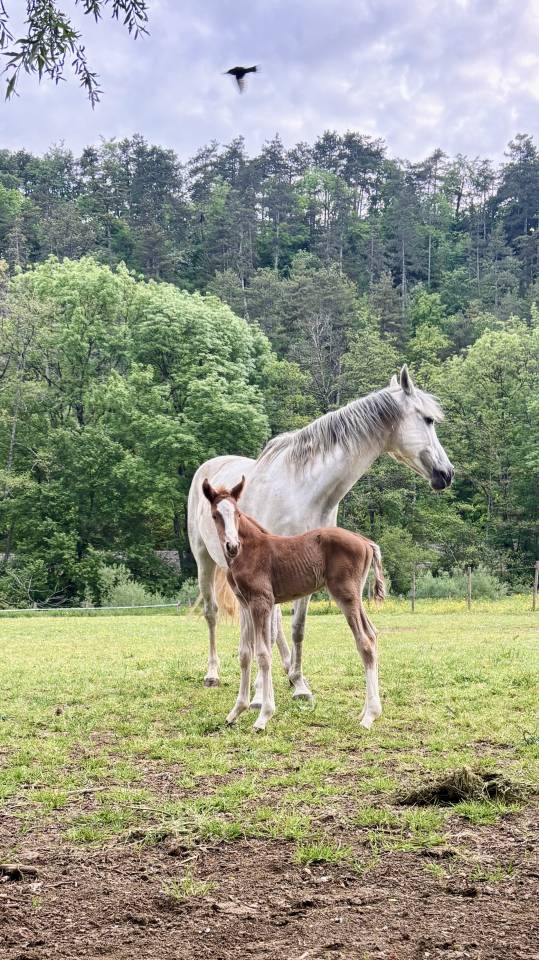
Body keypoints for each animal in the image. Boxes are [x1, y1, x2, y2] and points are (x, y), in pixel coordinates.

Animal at [187, 365, 454, 703]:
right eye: (428, 419)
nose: (447, 473)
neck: (303, 488)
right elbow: (266, 631)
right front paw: (260, 693)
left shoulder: (303, 568)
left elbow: (296, 627)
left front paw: (299, 683)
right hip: (204, 561)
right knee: (212, 613)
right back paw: (213, 673)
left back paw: (286, 668)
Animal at [202, 477, 386, 732]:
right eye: (215, 515)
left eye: (237, 514)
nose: (232, 546)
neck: (249, 552)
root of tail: (365, 541)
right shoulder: (245, 604)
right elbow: (245, 654)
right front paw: (236, 711)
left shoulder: (262, 602)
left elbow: (263, 654)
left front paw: (264, 716)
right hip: (356, 596)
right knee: (373, 634)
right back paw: (367, 711)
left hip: (346, 594)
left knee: (365, 642)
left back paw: (369, 716)